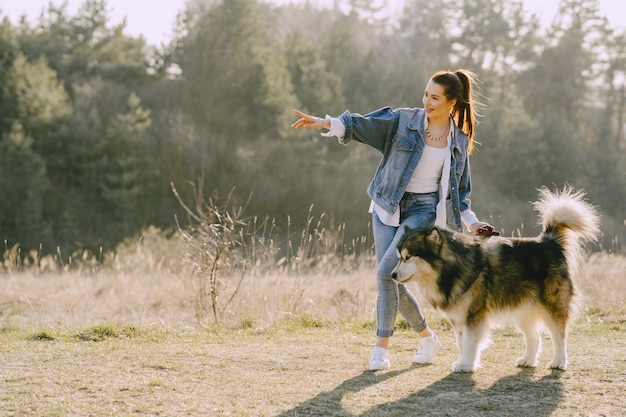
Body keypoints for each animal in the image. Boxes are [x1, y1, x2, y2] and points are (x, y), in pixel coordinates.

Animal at [390, 185, 600, 370]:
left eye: (408, 257)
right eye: (399, 257)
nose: (392, 274)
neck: (451, 268)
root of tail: (549, 241)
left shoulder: (474, 314)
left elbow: (470, 342)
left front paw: (466, 365)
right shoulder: (459, 316)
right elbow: (461, 342)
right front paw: (465, 361)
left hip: (552, 304)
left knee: (560, 336)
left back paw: (559, 362)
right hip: (523, 308)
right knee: (534, 337)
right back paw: (528, 360)